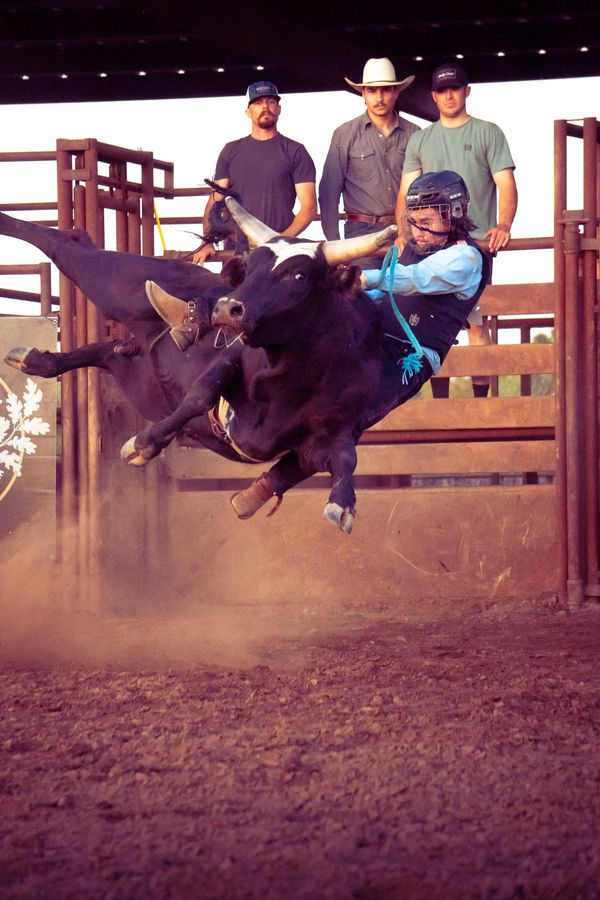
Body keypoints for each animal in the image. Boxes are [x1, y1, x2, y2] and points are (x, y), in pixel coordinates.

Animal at [1, 207, 422, 532]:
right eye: (250, 269)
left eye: (299, 274)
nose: (227, 308)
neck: (293, 376)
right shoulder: (231, 363)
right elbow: (199, 396)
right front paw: (143, 443)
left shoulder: (328, 436)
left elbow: (345, 459)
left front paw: (342, 503)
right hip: (117, 283)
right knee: (70, 243)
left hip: (135, 367)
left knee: (106, 347)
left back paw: (35, 359)